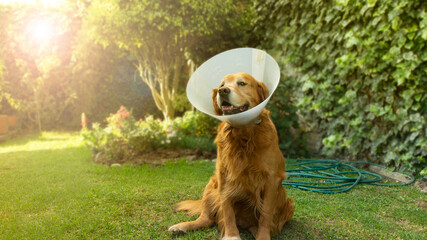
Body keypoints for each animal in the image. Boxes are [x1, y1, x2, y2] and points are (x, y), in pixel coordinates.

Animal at [169, 72, 296, 239]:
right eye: (222, 85)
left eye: (242, 83)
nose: (222, 91)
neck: (243, 134)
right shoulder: (224, 176)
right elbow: (227, 210)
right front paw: (231, 235)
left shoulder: (271, 179)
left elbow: (266, 214)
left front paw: (263, 235)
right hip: (211, 185)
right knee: (206, 219)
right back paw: (181, 226)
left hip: (286, 200)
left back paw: (255, 231)